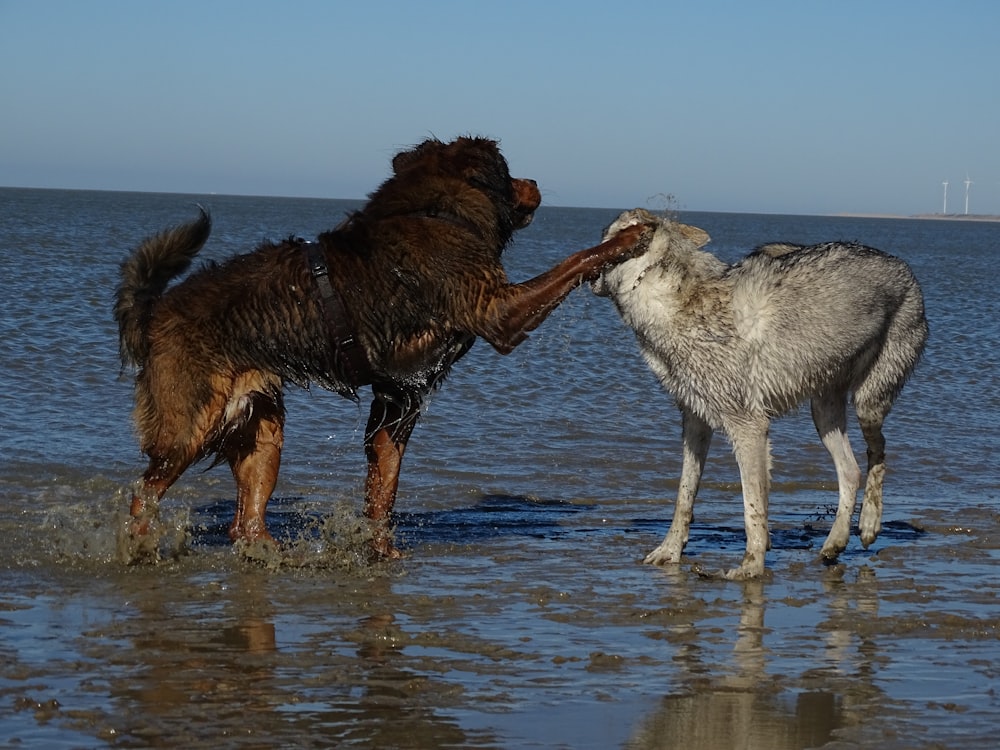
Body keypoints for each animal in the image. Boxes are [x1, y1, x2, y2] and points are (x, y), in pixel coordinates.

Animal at [115, 135, 648, 560]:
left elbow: (382, 490)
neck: (436, 211)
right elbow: (573, 260)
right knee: (144, 493)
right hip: (189, 425)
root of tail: (153, 313)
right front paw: (629, 237)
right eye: (509, 172)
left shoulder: (396, 400)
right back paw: (140, 545)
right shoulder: (499, 311)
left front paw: (382, 552)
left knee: (244, 523)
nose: (534, 180)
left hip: (260, 429)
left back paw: (275, 553)